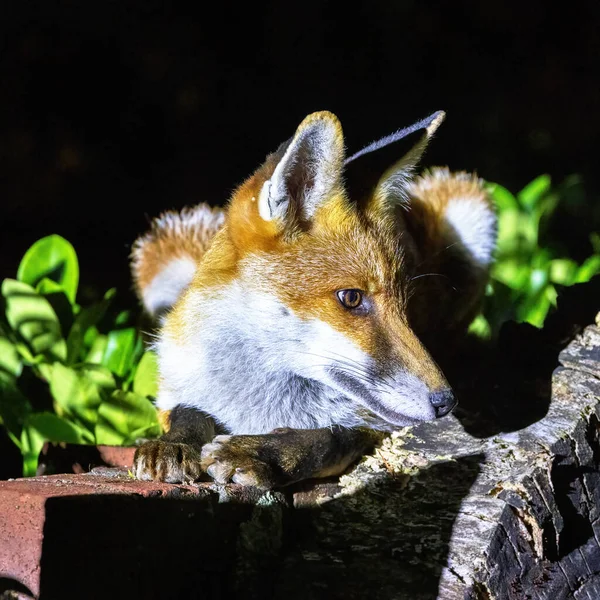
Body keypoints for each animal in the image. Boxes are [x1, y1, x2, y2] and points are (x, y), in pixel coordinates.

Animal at [130, 110, 496, 490]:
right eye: (351, 298)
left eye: (405, 302)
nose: (446, 402)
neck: (257, 396)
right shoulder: (174, 385)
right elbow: (189, 412)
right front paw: (175, 444)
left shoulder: (371, 424)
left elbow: (324, 439)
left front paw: (257, 453)